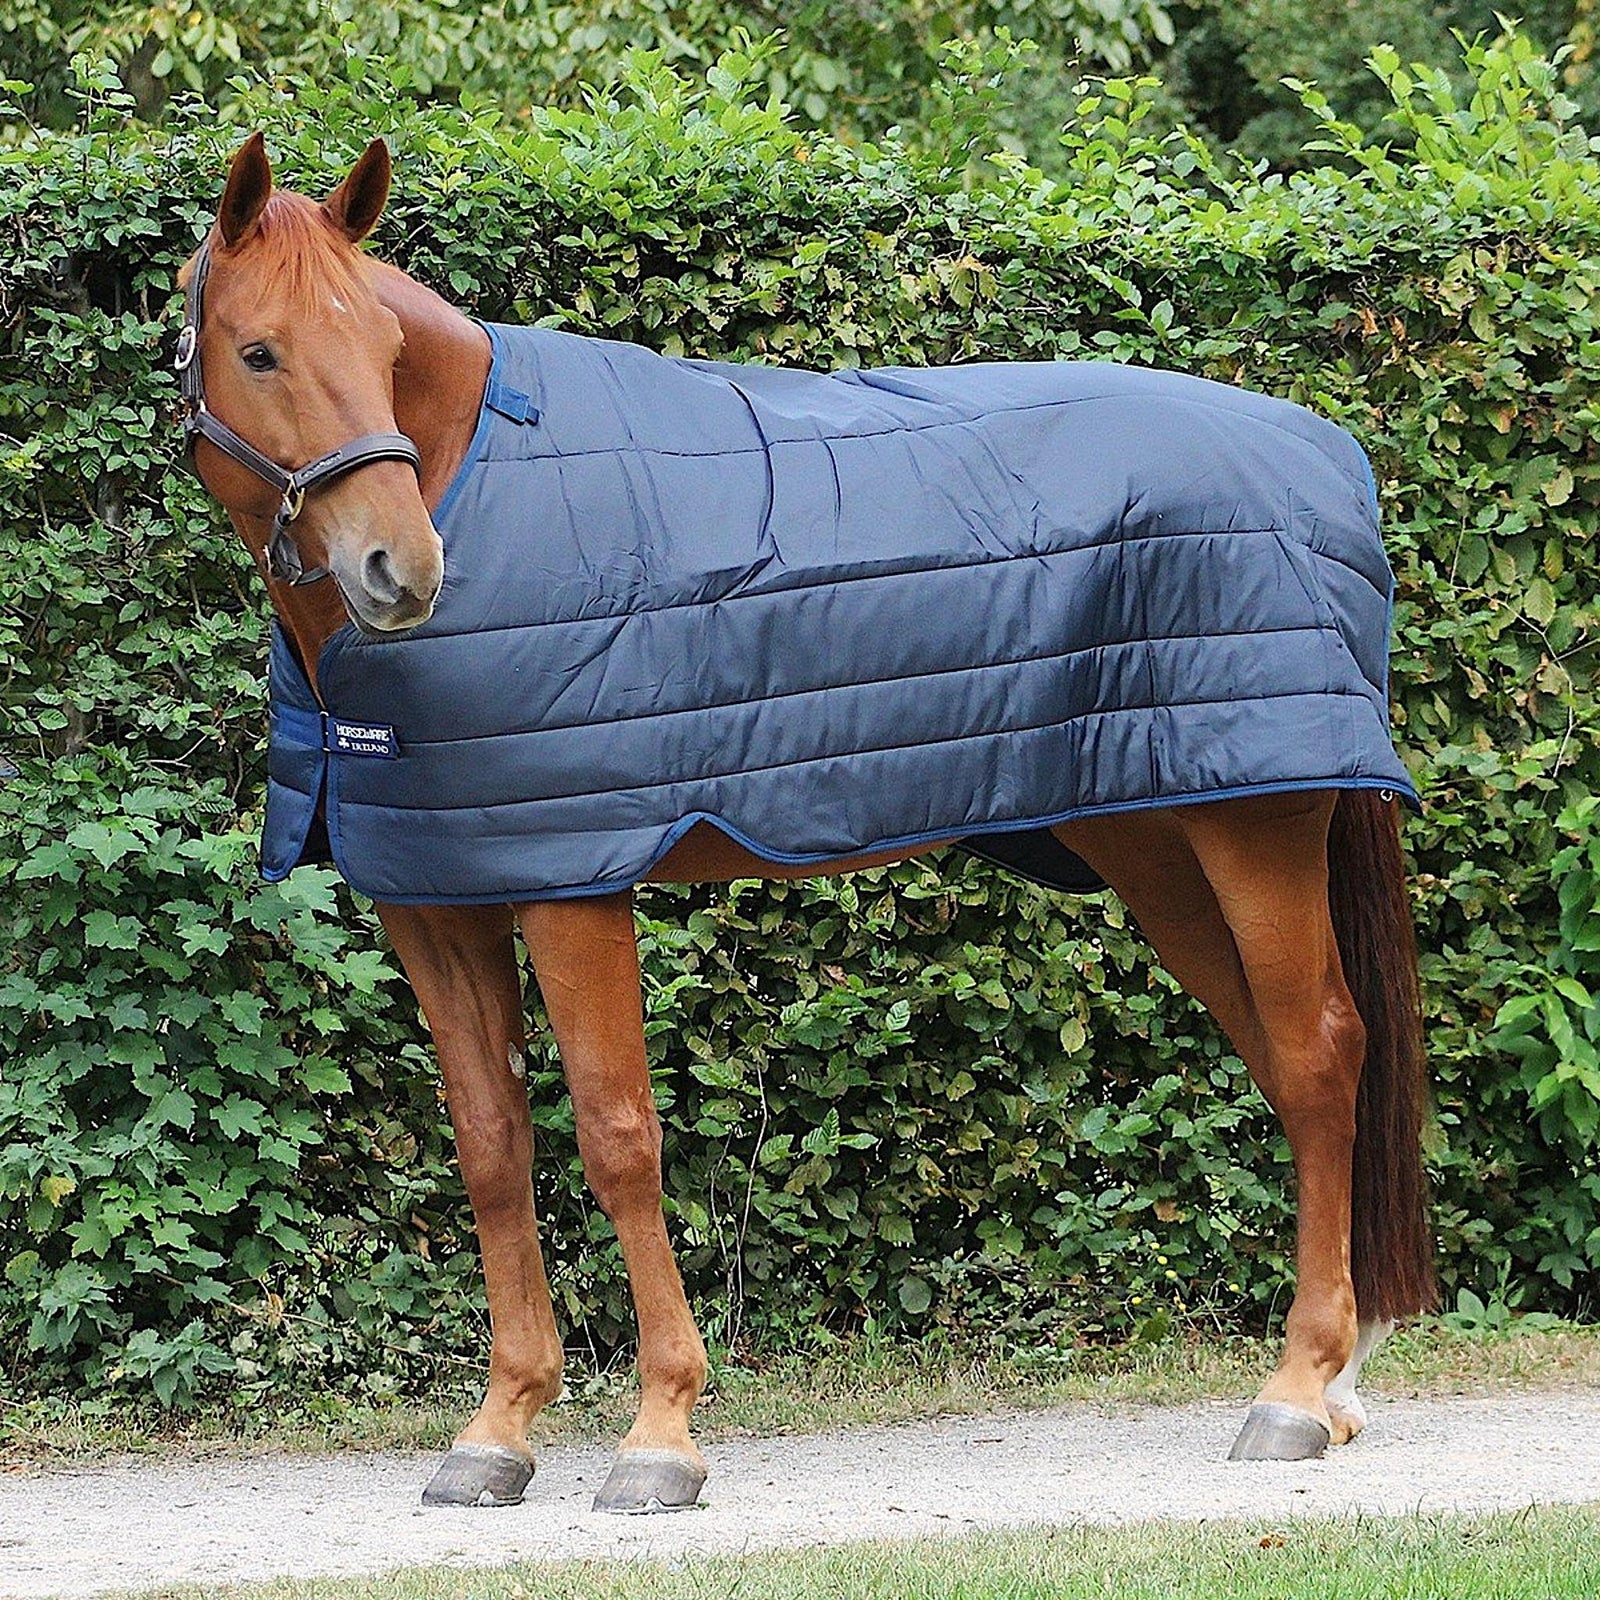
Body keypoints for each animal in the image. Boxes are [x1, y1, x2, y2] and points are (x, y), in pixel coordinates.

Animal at [175, 132, 1434, 1513]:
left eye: (385, 348)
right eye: (260, 353)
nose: (402, 570)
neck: (485, 476)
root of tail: (1326, 456)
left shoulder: (574, 878)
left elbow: (618, 1136)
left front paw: (660, 1430)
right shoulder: (436, 892)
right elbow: (493, 1146)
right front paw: (498, 1429)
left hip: (1257, 828)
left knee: (1318, 1056)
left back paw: (1297, 1390)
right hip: (1161, 840)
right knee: (1284, 1058)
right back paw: (1341, 1378)